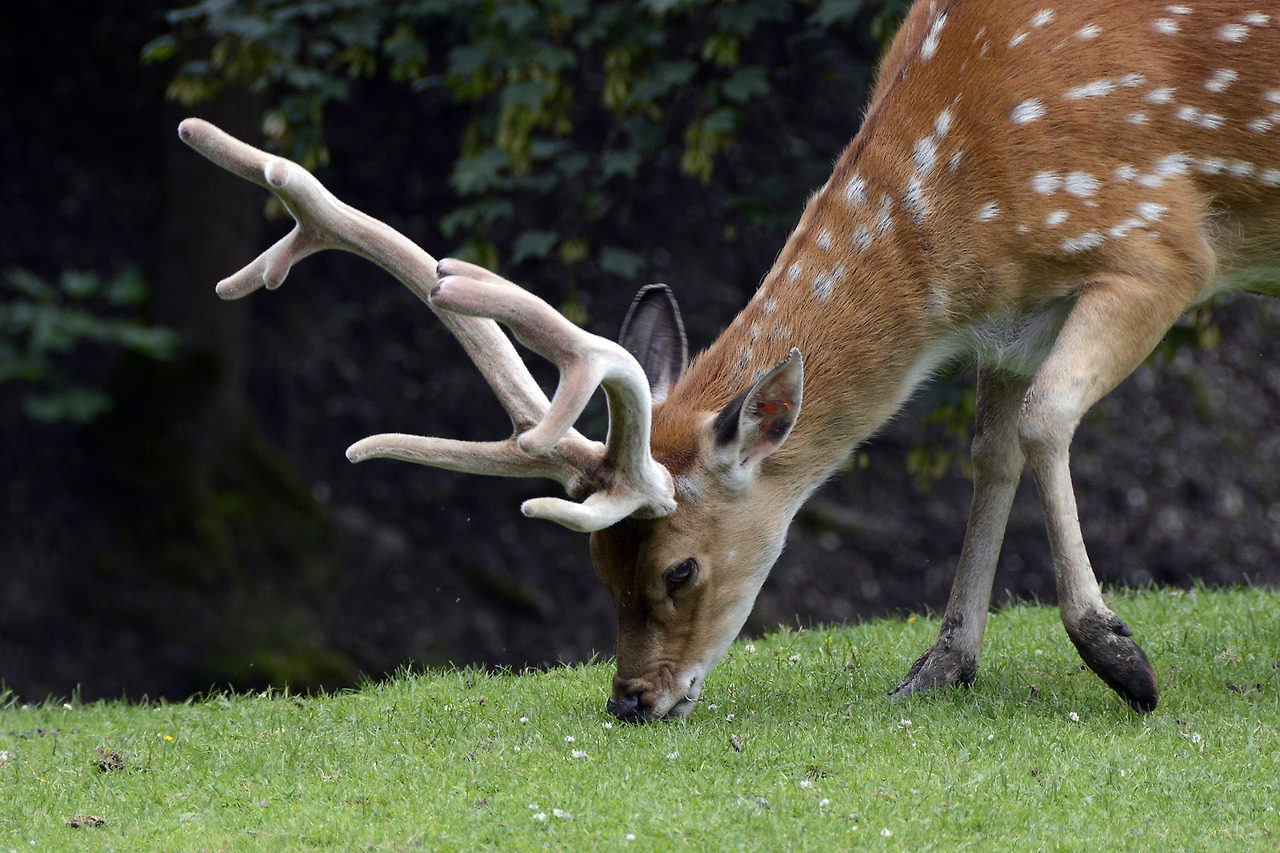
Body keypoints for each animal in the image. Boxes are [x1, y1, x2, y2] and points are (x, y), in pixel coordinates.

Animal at [181, 0, 1280, 721]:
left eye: (679, 568)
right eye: (596, 565)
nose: (630, 699)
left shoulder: (1157, 241)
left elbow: (1048, 418)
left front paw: (1118, 657)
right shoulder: (1015, 318)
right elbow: (993, 451)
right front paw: (939, 665)